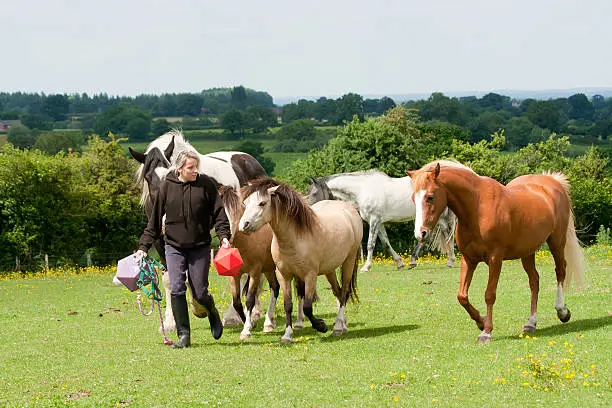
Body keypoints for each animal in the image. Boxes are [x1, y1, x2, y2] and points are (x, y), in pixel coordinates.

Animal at [238, 178, 364, 342]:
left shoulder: (310, 275)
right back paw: (342, 325)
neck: (296, 237)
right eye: (245, 203)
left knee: (344, 292)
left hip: (349, 261)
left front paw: (321, 326)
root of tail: (350, 210)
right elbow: (288, 305)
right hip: (329, 269)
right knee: (337, 291)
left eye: (262, 203)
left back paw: (337, 327)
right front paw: (287, 335)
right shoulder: (284, 275)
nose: (243, 225)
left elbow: (307, 307)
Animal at [308, 167, 456, 272]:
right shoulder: (379, 222)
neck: (363, 189)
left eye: (313, 193)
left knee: (446, 234)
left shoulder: (374, 220)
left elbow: (370, 244)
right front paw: (399, 263)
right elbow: (386, 243)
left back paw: (448, 261)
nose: (310, 210)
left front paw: (366, 267)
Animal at [406, 161, 584, 342]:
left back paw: (562, 311)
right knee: (534, 280)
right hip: (527, 252)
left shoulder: (495, 259)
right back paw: (531, 323)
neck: (477, 208)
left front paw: (486, 332)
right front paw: (481, 321)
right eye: (413, 199)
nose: (420, 233)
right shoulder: (468, 259)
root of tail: (552, 181)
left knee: (560, 271)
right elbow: (462, 296)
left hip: (557, 242)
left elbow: (489, 294)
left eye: (430, 197)